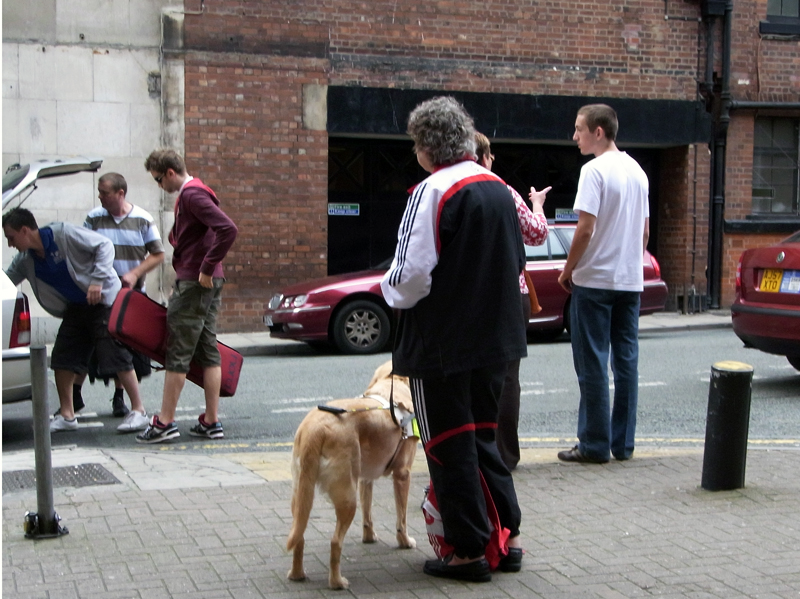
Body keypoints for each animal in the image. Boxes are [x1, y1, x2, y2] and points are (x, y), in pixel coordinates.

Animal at [286, 360, 418, 592]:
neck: (391, 386)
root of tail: (314, 430)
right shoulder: (403, 474)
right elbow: (401, 518)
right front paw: (405, 541)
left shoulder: (365, 479)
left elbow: (368, 514)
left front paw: (369, 537)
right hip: (347, 496)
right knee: (335, 542)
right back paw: (337, 582)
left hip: (301, 494)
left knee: (299, 535)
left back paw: (297, 574)